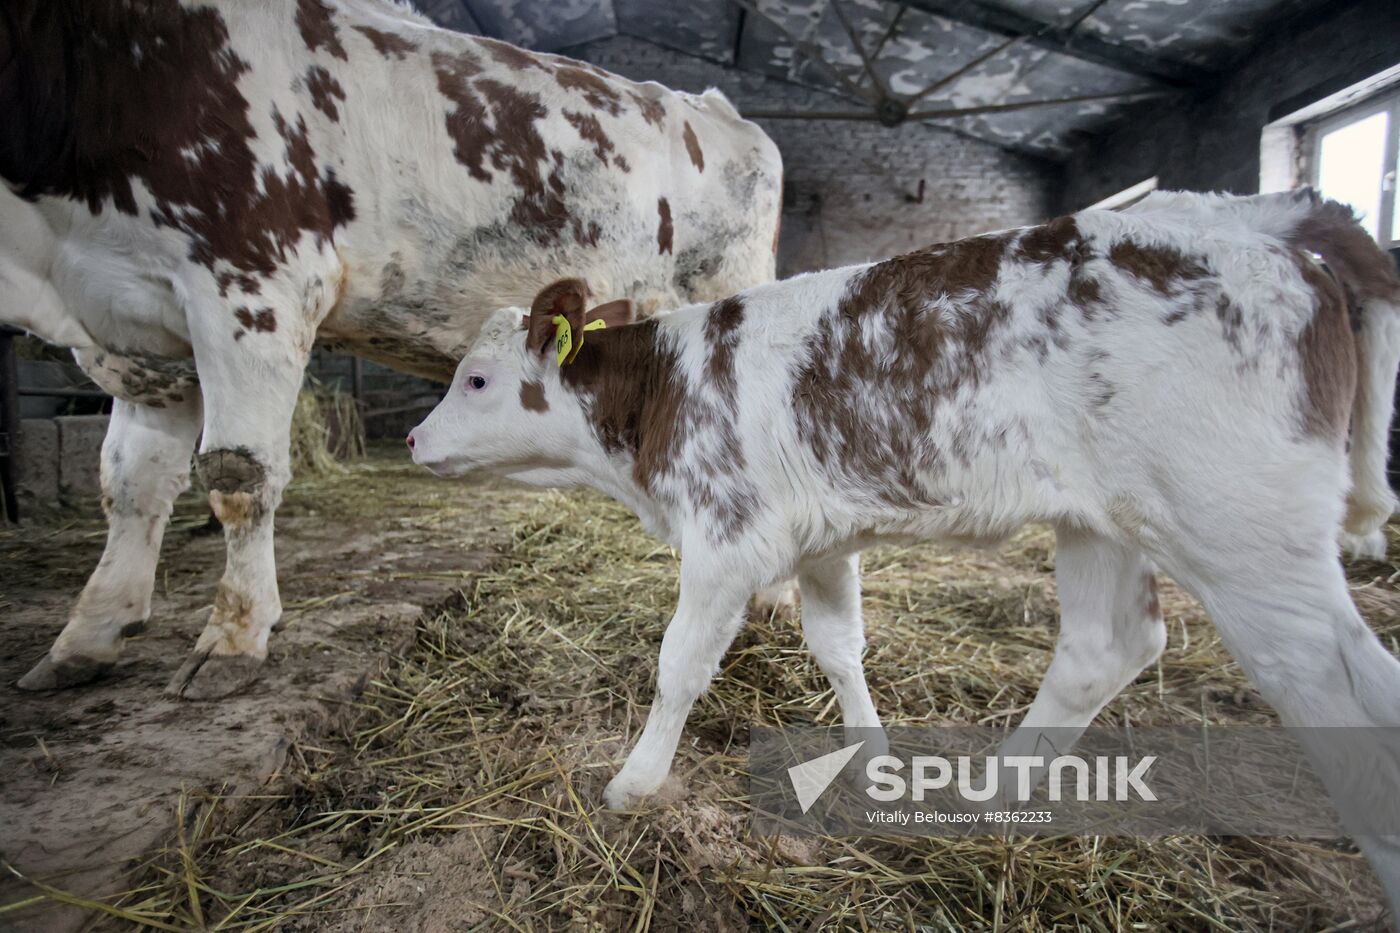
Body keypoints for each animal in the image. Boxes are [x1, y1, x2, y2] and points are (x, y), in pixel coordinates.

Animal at [0, 0, 782, 698]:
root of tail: (722, 111)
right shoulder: (135, 330)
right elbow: (130, 483)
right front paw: (89, 634)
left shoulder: (254, 281)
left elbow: (236, 475)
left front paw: (232, 638)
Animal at [407, 189, 1400, 906]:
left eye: (477, 380)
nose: (414, 438)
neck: (660, 395)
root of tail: (1264, 228)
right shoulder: (818, 536)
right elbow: (838, 643)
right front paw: (876, 755)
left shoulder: (727, 530)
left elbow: (680, 663)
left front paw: (636, 782)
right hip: (1111, 519)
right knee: (1109, 646)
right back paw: (993, 792)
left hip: (1242, 533)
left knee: (1335, 699)